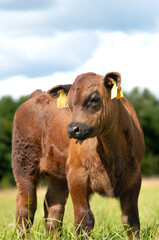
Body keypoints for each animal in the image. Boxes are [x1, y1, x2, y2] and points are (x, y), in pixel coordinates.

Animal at [11, 71, 145, 238]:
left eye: (94, 99)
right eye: (69, 104)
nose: (73, 129)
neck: (112, 153)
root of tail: (35, 95)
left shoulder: (134, 177)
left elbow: (131, 221)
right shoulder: (76, 174)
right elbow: (84, 219)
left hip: (57, 173)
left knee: (54, 206)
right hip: (24, 163)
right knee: (26, 203)